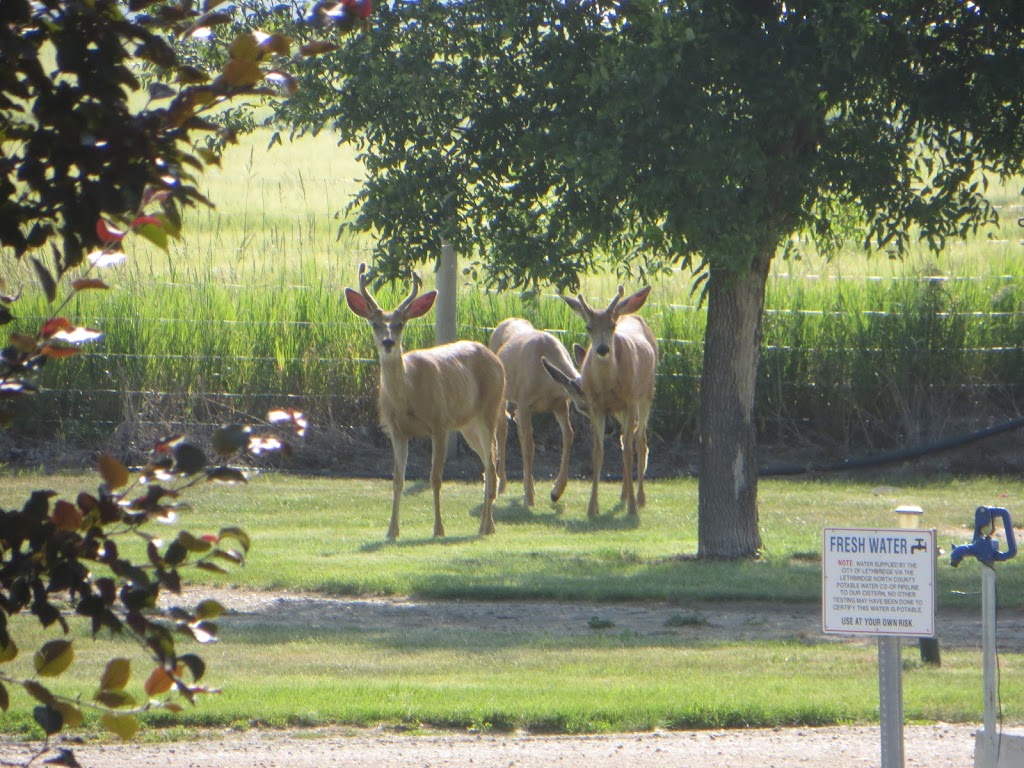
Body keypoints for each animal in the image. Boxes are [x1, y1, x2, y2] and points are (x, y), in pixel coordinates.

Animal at [344, 264, 503, 540]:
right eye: (375, 323)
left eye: (400, 324)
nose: (388, 342)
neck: (407, 396)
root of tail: (495, 358)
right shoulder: (396, 430)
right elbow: (398, 479)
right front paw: (392, 531)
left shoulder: (439, 424)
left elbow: (435, 478)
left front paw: (438, 529)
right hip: (467, 424)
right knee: (487, 463)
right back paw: (487, 524)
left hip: (490, 409)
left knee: (492, 465)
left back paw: (486, 527)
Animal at [489, 319, 585, 507]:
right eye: (584, 405)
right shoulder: (524, 402)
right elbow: (528, 446)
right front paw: (529, 499)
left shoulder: (560, 404)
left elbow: (568, 435)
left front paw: (556, 492)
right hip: (502, 393)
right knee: (502, 430)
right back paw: (501, 484)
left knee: (515, 426)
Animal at [544, 286, 655, 520]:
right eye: (588, 327)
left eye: (612, 326)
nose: (603, 349)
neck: (607, 385)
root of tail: (631, 314)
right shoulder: (597, 406)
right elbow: (598, 453)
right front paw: (592, 508)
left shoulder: (629, 401)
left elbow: (628, 452)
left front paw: (632, 509)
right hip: (622, 410)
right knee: (626, 438)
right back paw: (624, 494)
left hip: (645, 395)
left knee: (640, 441)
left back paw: (639, 498)